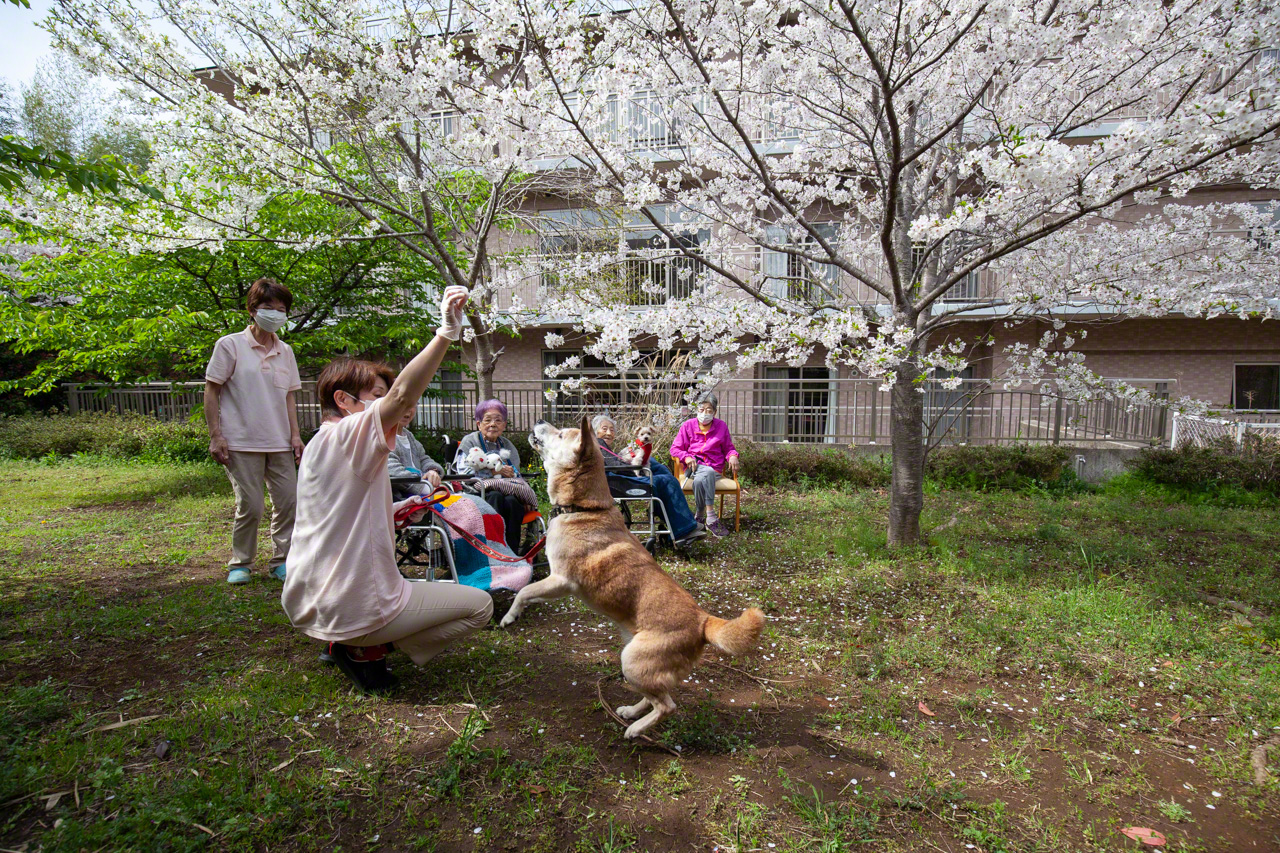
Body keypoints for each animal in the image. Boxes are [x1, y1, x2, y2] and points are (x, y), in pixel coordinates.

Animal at [496, 414, 757, 732]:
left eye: (560, 435)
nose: (541, 419)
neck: (583, 508)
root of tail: (703, 620)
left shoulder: (561, 581)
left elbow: (524, 591)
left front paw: (509, 616)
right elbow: (526, 591)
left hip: (631, 662)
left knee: (667, 705)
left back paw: (635, 729)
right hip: (639, 664)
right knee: (656, 696)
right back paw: (633, 712)